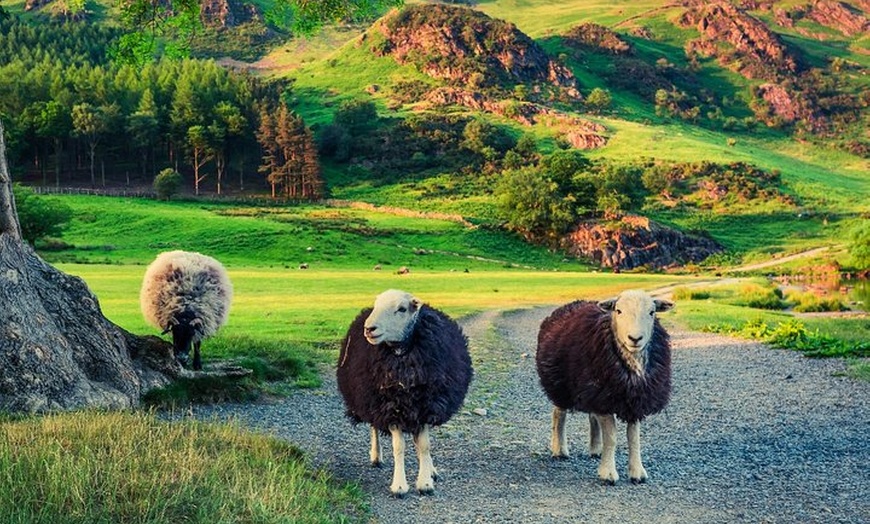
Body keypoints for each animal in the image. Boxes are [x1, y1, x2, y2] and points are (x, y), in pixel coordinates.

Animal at [338, 288, 474, 498]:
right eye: (376, 306)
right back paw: (376, 456)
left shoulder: (426, 406)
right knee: (374, 427)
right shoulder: (390, 408)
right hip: (372, 401)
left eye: (401, 309)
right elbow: (399, 447)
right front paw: (400, 486)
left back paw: (431, 470)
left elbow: (424, 446)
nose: (369, 329)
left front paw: (425, 482)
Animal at [540, 288, 676, 486]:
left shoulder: (633, 400)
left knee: (592, 418)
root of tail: (576, 302)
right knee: (559, 414)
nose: (635, 338)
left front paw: (637, 472)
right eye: (618, 311)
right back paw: (559, 450)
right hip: (561, 384)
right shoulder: (605, 398)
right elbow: (611, 438)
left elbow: (633, 438)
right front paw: (608, 474)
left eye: (652, 312)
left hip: (592, 391)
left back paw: (596, 449)